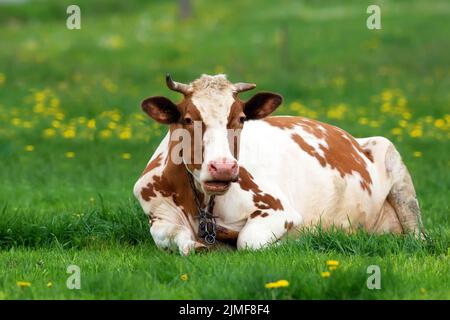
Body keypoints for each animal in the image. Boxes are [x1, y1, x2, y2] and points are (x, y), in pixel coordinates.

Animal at [132, 73, 424, 255]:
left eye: (240, 118)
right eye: (188, 119)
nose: (223, 167)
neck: (203, 203)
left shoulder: (279, 210)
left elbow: (248, 241)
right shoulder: (159, 215)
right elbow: (173, 238)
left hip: (393, 162)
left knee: (417, 235)